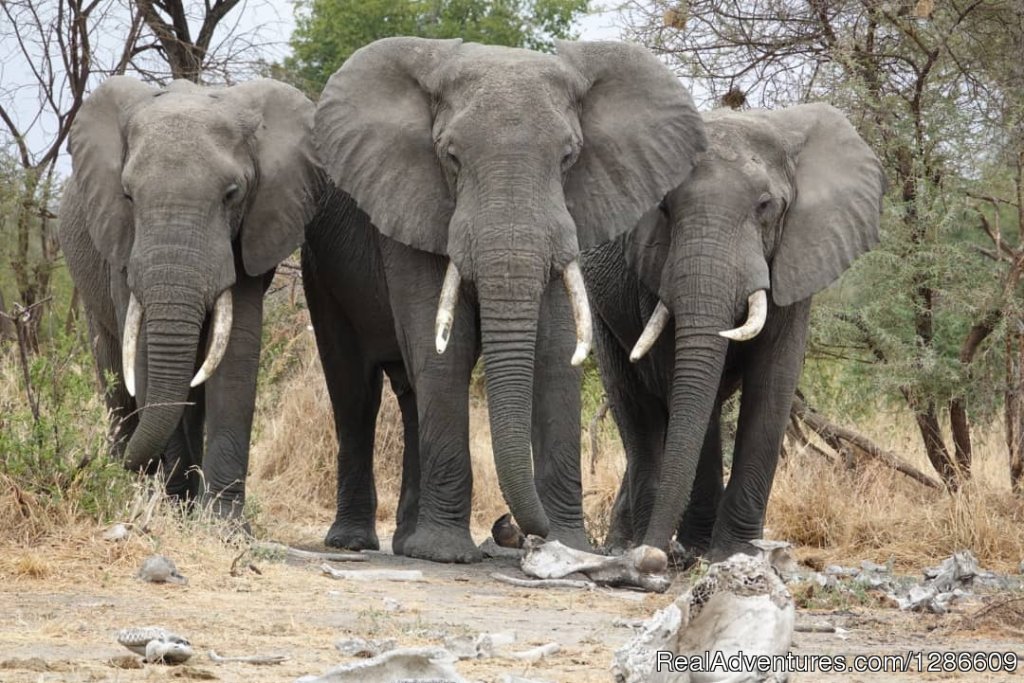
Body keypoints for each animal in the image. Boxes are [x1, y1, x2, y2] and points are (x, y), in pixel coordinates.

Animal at [58, 76, 319, 518]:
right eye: (128, 196)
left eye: (232, 194)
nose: (82, 464)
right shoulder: (122, 244)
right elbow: (143, 355)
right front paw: (175, 505)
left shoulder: (248, 234)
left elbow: (236, 353)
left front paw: (222, 522)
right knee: (114, 371)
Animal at [303, 36, 704, 561]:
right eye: (451, 157)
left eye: (568, 158)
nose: (512, 528)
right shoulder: (411, 204)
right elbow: (444, 350)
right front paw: (447, 554)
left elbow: (554, 350)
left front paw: (569, 545)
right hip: (321, 273)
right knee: (354, 391)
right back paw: (354, 543)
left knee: (410, 395)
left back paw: (408, 543)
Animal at [585, 101, 888, 561]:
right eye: (664, 208)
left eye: (765, 205)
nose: (656, 557)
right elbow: (687, 385)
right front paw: (697, 548)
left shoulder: (796, 257)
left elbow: (773, 381)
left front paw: (737, 550)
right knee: (636, 412)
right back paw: (626, 545)